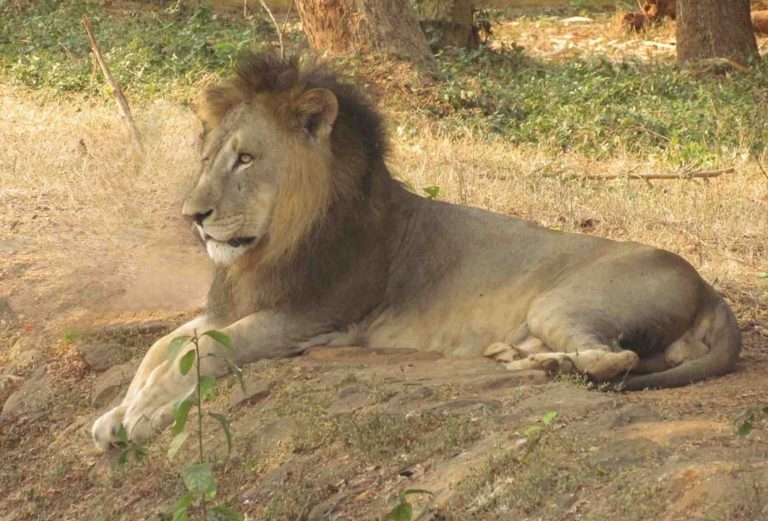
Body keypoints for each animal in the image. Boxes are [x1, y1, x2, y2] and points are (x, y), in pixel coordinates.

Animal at [92, 53, 741, 449]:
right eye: (207, 158)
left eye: (246, 159)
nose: (192, 217)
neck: (271, 246)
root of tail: (710, 288)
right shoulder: (238, 304)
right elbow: (163, 346)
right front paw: (117, 414)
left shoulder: (312, 316)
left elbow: (204, 349)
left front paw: (145, 416)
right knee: (623, 356)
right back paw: (519, 356)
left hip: (562, 303)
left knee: (616, 359)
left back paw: (548, 367)